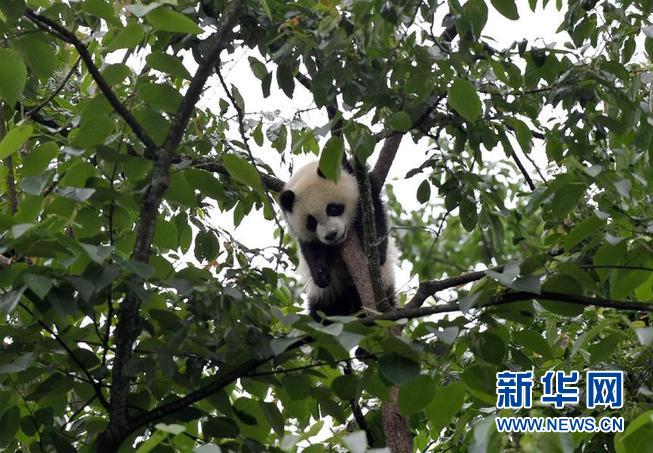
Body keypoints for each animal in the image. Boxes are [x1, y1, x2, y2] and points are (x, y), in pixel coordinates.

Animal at [278, 161, 394, 320]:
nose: (331, 235)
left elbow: (375, 216)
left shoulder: (362, 185)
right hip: (328, 298)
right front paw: (321, 274)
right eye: (311, 222)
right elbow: (312, 249)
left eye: (332, 209)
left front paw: (377, 253)